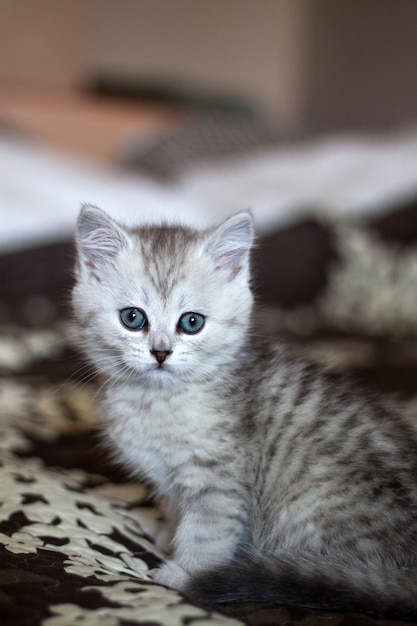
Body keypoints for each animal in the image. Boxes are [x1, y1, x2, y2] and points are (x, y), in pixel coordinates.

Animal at [73, 206, 416, 620]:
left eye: (191, 322)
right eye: (133, 318)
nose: (160, 352)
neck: (156, 401)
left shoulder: (220, 481)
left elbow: (207, 533)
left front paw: (188, 573)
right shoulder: (170, 476)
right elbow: (175, 507)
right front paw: (167, 531)